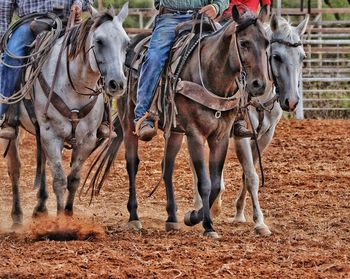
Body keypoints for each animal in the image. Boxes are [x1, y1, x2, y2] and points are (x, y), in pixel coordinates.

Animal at [0, 5, 129, 229]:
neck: (74, 84)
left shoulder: (87, 139)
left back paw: (40, 208)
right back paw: (17, 215)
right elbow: (59, 180)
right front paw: (60, 222)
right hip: (16, 133)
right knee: (14, 167)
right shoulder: (51, 135)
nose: (117, 84)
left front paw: (69, 215)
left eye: (126, 43)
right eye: (99, 41)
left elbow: (73, 179)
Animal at [91, 6, 270, 238]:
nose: (260, 85)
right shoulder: (195, 134)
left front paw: (193, 216)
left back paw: (172, 218)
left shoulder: (220, 137)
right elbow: (204, 183)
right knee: (132, 164)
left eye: (266, 42)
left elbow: (215, 185)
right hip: (128, 120)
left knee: (167, 168)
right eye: (244, 43)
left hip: (175, 131)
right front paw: (207, 225)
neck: (210, 75)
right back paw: (134, 217)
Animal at [194, 13, 308, 236]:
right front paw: (260, 222)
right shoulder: (241, 137)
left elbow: (247, 176)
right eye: (276, 56)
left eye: (302, 57)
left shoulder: (264, 137)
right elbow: (252, 176)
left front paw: (239, 213)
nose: (291, 101)